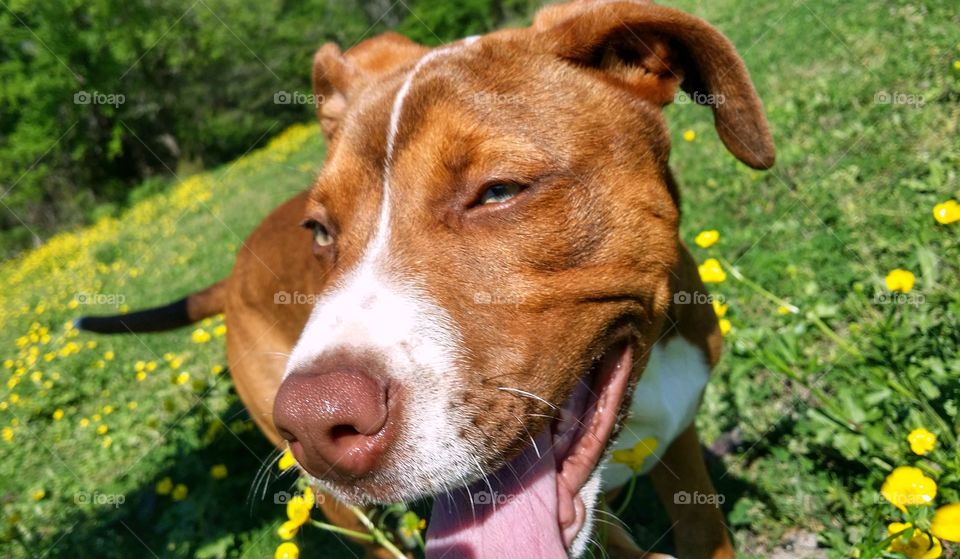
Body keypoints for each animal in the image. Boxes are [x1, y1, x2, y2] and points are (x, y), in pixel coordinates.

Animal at [80, 2, 772, 556]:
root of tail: (234, 270)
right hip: (336, 505)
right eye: (320, 232)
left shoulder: (682, 448)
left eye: (498, 192)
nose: (315, 425)